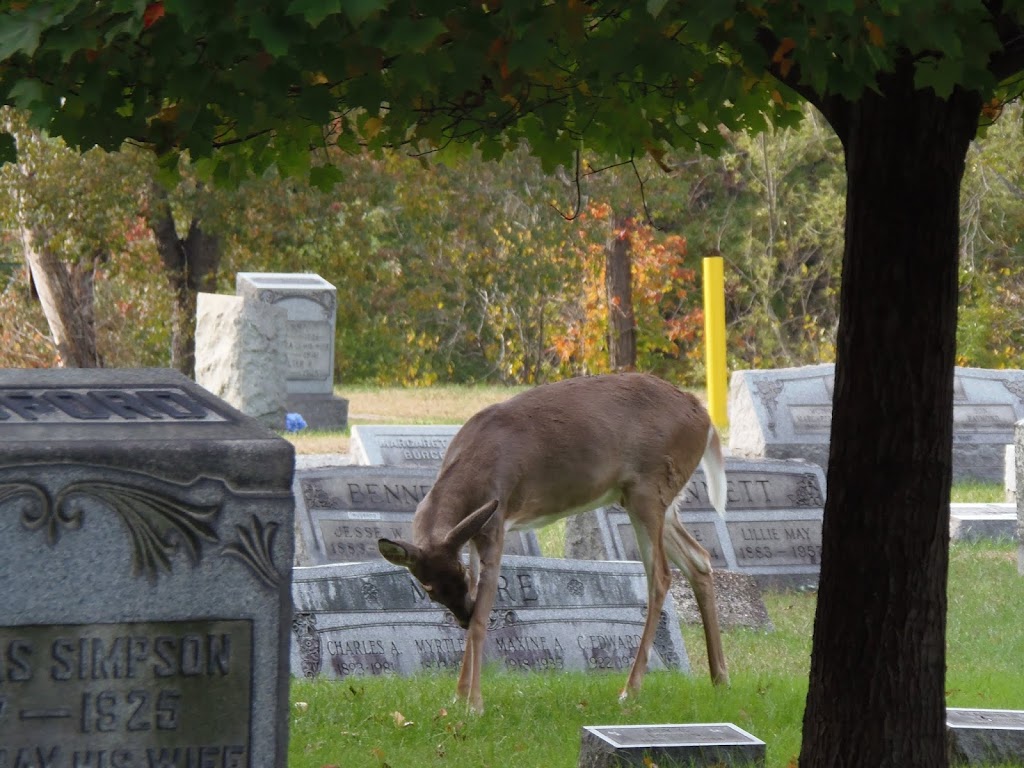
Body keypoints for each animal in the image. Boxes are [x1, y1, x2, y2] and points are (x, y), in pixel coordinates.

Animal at [376, 372, 729, 716]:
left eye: (457, 574)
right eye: (429, 588)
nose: (459, 616)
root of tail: (704, 417)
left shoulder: (496, 522)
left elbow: (482, 616)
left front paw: (474, 704)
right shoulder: (473, 535)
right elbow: (478, 602)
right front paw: (458, 695)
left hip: (649, 487)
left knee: (661, 575)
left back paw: (630, 689)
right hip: (651, 500)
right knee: (699, 559)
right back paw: (719, 678)